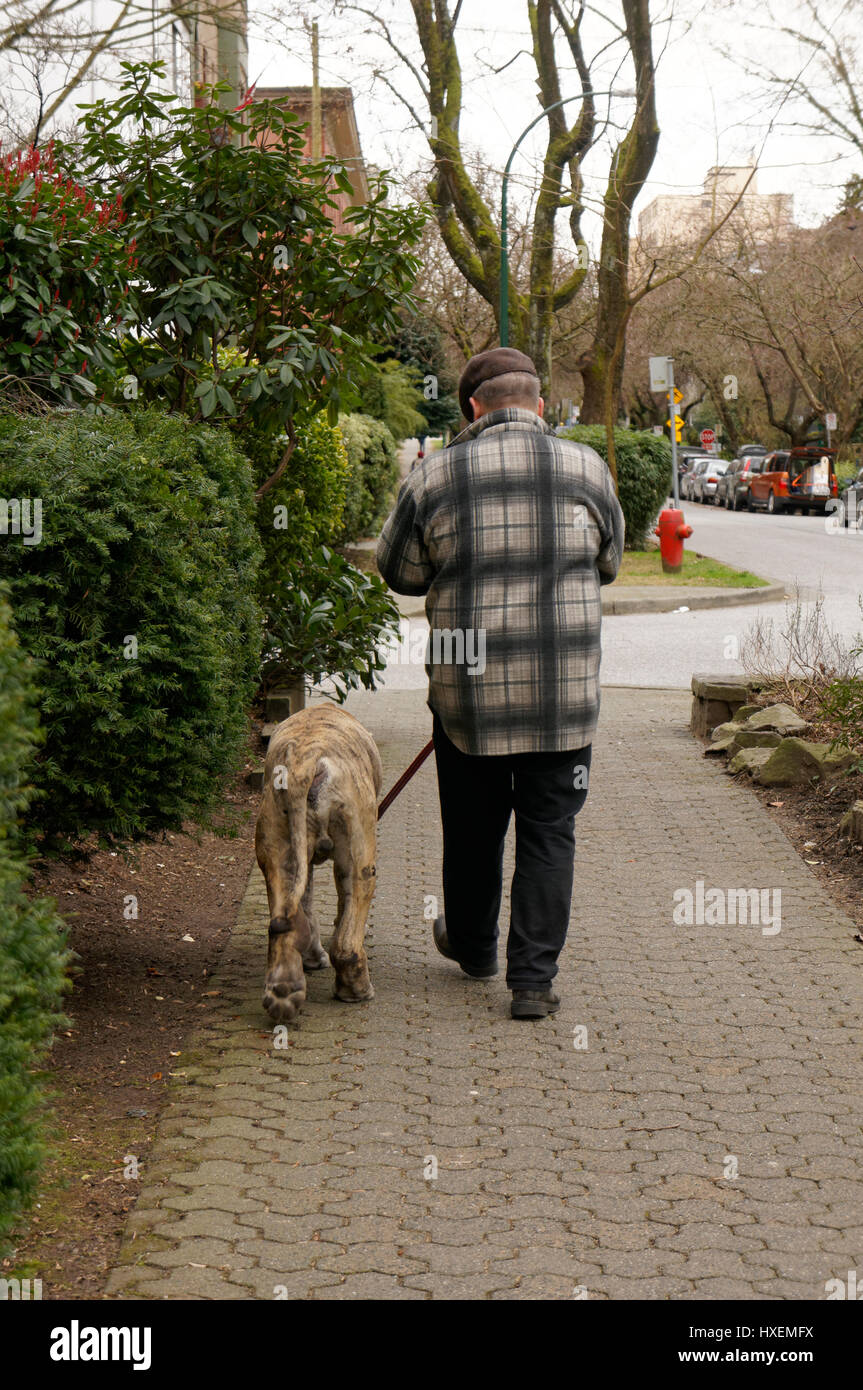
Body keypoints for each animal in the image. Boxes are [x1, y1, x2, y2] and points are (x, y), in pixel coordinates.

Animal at [252, 706, 380, 1023]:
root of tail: (303, 764)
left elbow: (307, 906)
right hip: (359, 856)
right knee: (349, 930)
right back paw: (355, 989)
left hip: (278, 836)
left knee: (282, 921)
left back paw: (284, 991)